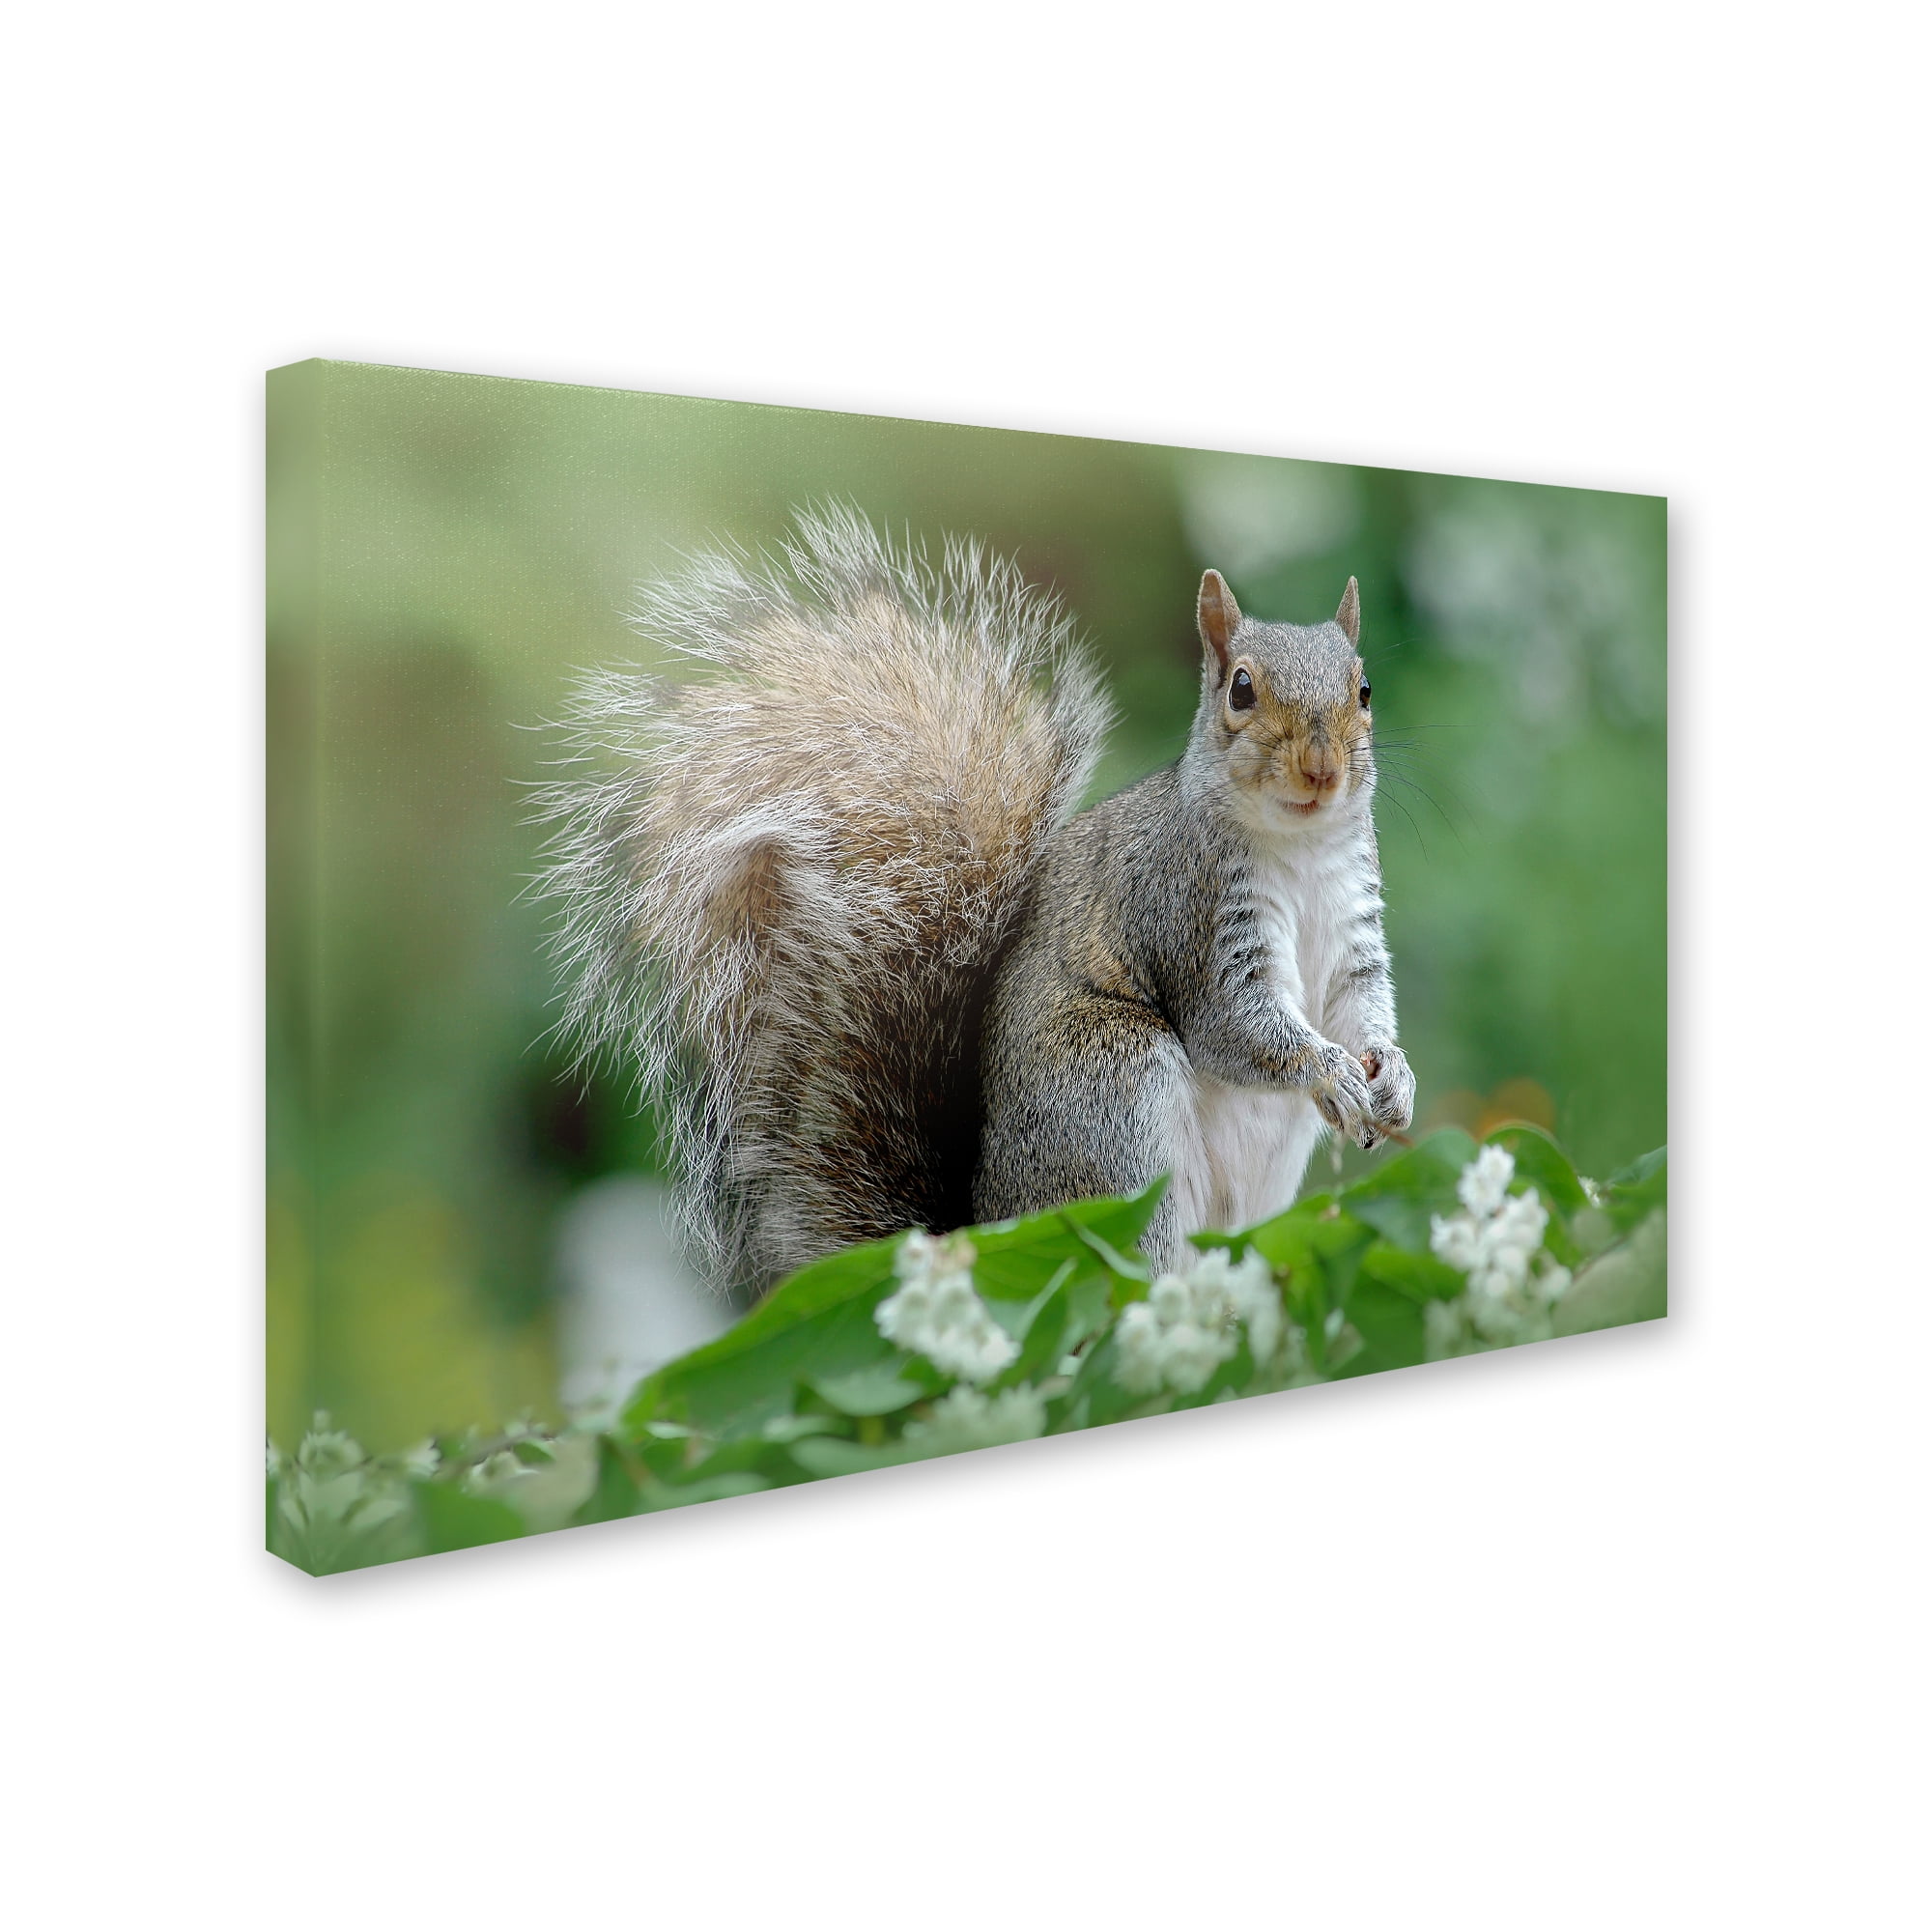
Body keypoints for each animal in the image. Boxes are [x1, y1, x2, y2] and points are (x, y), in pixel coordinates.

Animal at [536, 505, 1414, 1297]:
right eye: (1240, 689)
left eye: (1366, 689)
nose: (1322, 770)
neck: (1298, 852)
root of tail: (987, 1231)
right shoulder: (1188, 913)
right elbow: (1237, 1027)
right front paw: (1329, 1070)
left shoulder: (1353, 931)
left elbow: (1361, 1005)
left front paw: (1391, 1077)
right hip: (1112, 1099)